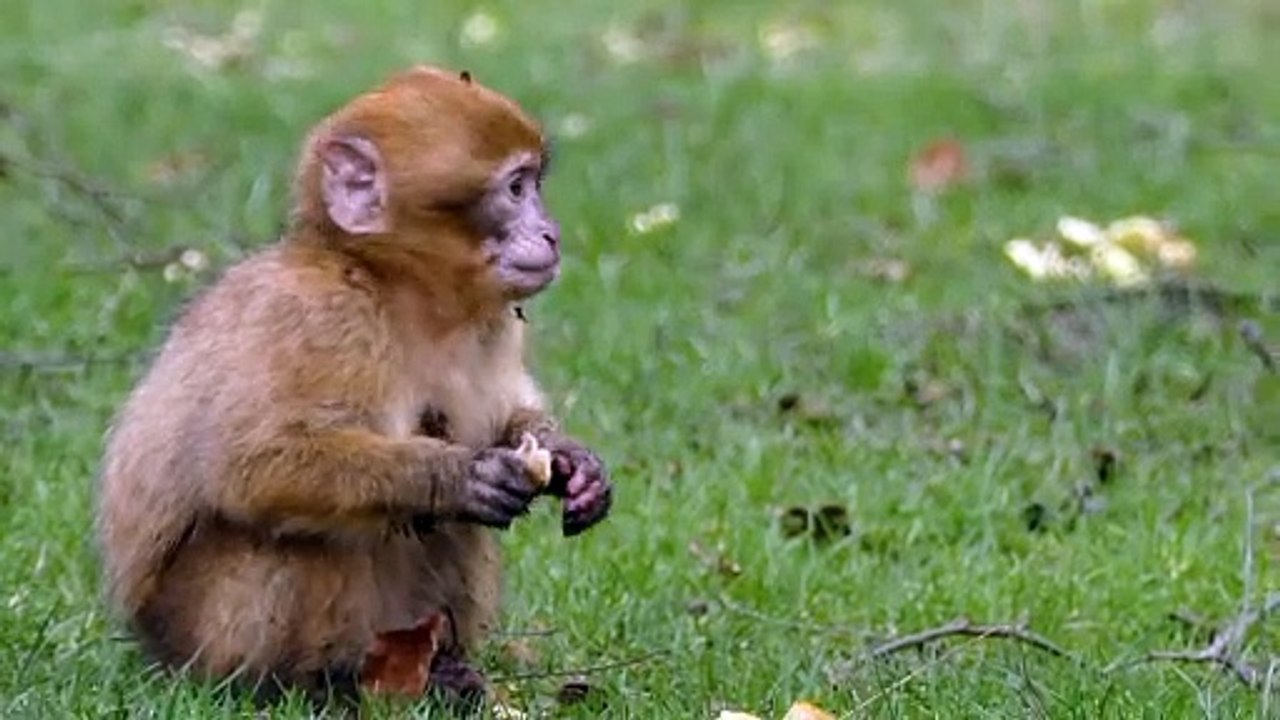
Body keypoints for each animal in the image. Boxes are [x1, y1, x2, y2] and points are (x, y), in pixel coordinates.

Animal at [95, 65, 613, 704]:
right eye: (515, 189)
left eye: (534, 183)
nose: (551, 233)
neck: (397, 289)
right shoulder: (320, 318)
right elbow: (251, 464)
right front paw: (455, 475)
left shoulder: (492, 326)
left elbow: (509, 417)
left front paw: (570, 462)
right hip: (196, 630)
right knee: (285, 540)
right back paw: (313, 684)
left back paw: (437, 670)